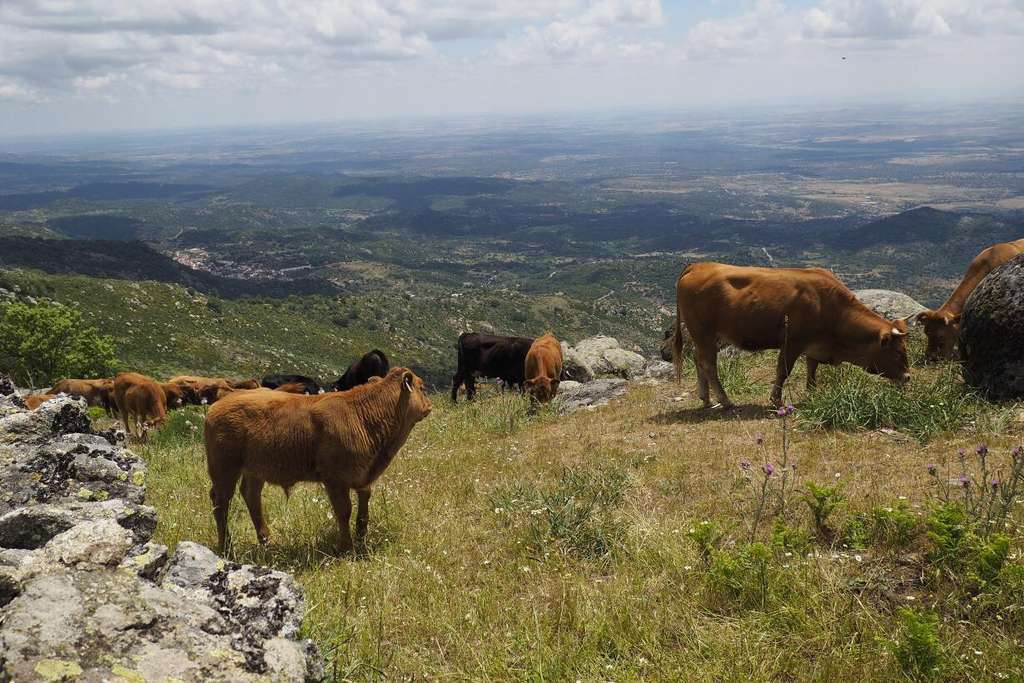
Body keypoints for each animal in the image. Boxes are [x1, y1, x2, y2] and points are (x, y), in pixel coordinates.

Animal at [203, 367, 432, 553]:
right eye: (422, 387)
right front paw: (346, 548)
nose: (430, 405)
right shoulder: (335, 480)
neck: (363, 414)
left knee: (251, 496)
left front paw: (361, 536)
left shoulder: (363, 475)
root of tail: (222, 401)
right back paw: (227, 547)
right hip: (223, 469)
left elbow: (364, 503)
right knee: (221, 503)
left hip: (255, 469)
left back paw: (267, 541)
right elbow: (343, 511)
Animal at [673, 263, 911, 409]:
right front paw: (776, 400)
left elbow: (812, 371)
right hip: (703, 332)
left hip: (705, 336)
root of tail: (698, 265)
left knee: (698, 360)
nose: (908, 377)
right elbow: (783, 371)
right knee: (708, 364)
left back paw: (705, 398)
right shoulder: (792, 342)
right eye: (899, 352)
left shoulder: (815, 346)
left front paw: (813, 394)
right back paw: (725, 400)